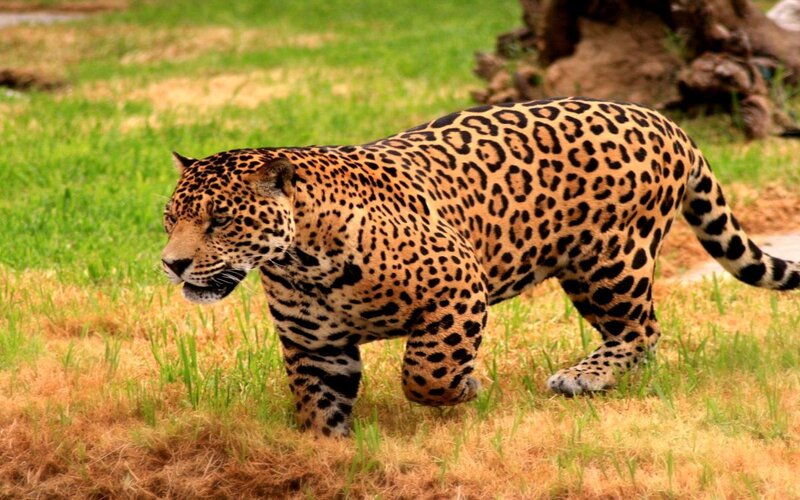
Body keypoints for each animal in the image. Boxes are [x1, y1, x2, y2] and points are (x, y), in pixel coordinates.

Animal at [161, 97, 799, 437]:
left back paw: (584, 377)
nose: (171, 264)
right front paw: (326, 452)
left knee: (641, 329)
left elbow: (426, 372)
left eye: (220, 221)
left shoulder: (458, 287)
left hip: (608, 262)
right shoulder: (315, 346)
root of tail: (664, 120)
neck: (302, 260)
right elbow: (320, 407)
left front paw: (466, 387)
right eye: (169, 219)